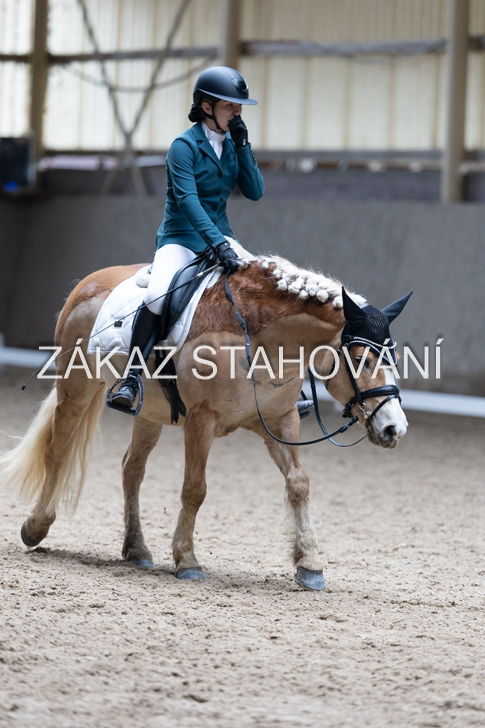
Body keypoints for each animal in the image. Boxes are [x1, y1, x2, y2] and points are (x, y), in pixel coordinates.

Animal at [0, 255, 410, 590]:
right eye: (360, 359)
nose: (395, 429)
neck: (263, 340)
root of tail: (88, 282)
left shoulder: (281, 420)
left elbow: (299, 484)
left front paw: (309, 564)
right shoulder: (202, 420)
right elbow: (195, 489)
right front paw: (187, 560)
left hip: (148, 413)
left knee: (131, 468)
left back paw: (136, 549)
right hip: (76, 388)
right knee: (57, 450)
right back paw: (36, 527)